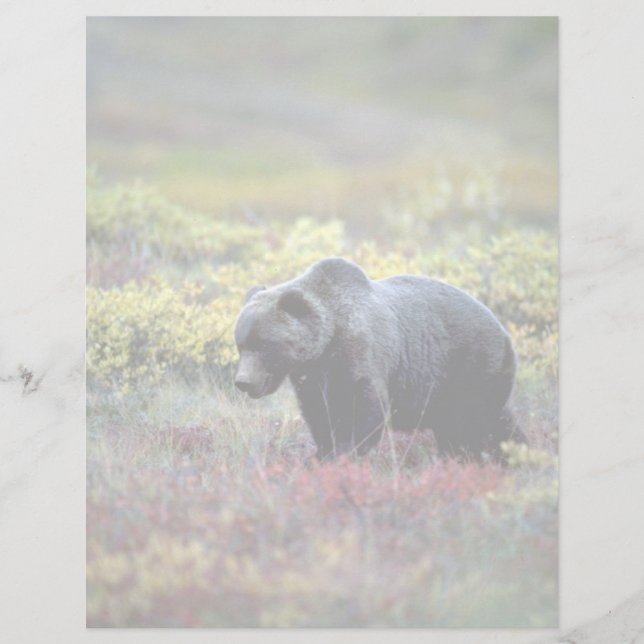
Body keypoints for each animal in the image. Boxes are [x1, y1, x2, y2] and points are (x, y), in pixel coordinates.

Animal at [234, 257, 525, 461]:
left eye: (264, 344)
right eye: (241, 344)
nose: (242, 382)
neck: (326, 343)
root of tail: (504, 331)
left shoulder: (359, 354)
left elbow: (364, 409)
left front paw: (344, 453)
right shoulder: (312, 377)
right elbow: (319, 414)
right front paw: (322, 453)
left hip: (469, 367)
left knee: (469, 423)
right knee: (498, 421)